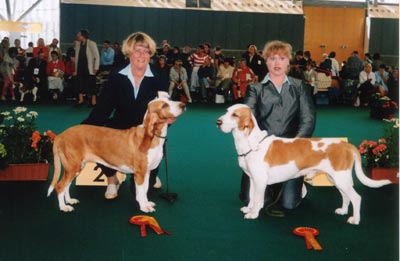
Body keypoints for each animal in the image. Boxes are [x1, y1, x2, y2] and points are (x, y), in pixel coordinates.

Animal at [47, 95, 185, 211]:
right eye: (164, 105)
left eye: (170, 99)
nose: (183, 105)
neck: (152, 136)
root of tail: (61, 135)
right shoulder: (139, 173)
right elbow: (140, 192)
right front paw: (144, 207)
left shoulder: (147, 172)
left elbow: (145, 190)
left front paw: (146, 203)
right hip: (72, 167)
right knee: (60, 186)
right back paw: (63, 207)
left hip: (76, 167)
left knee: (66, 185)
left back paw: (69, 200)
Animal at [217, 103, 392, 223]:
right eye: (227, 111)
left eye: (235, 115)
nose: (218, 122)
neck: (251, 142)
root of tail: (345, 145)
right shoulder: (253, 179)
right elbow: (252, 196)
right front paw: (249, 208)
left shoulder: (260, 180)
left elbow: (258, 199)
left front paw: (253, 214)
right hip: (335, 179)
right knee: (345, 196)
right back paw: (342, 211)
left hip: (341, 178)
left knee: (356, 198)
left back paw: (355, 219)